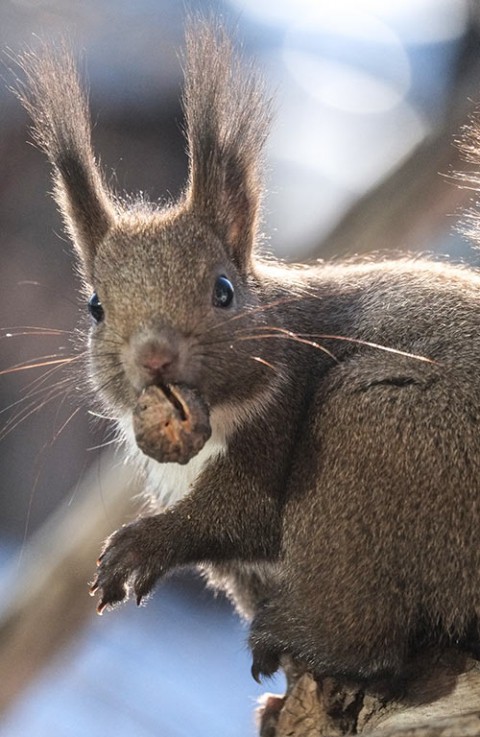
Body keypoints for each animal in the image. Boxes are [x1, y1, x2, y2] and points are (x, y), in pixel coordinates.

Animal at [15, 18, 480, 688]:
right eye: (95, 307)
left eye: (224, 290)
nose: (155, 357)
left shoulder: (276, 422)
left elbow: (240, 515)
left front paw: (140, 546)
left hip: (381, 439)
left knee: (369, 638)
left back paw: (300, 636)